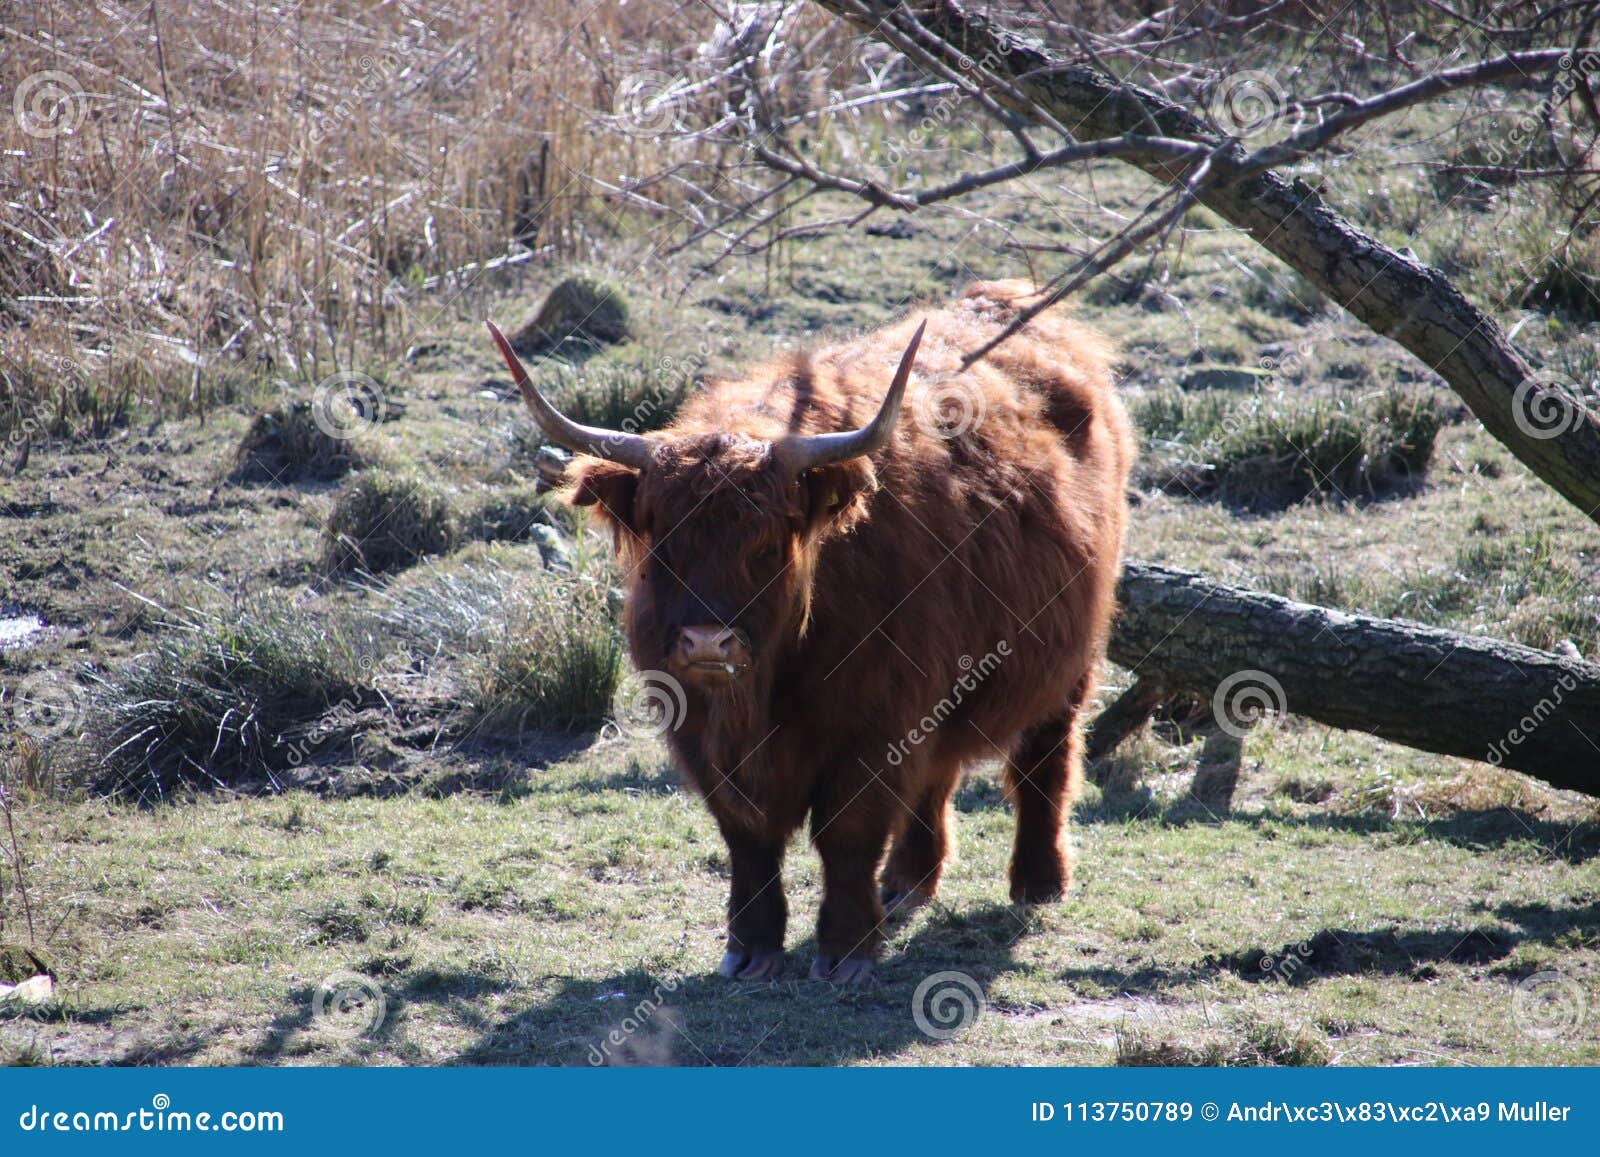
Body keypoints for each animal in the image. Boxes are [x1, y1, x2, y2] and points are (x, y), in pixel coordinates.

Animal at [492, 283, 1132, 985]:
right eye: (663, 540)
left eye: (768, 546)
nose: (708, 644)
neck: (759, 698)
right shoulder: (700, 731)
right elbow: (746, 835)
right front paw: (750, 948)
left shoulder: (876, 725)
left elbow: (848, 832)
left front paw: (847, 950)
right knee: (938, 774)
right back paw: (908, 880)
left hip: (1070, 656)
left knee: (1045, 759)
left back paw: (1038, 881)